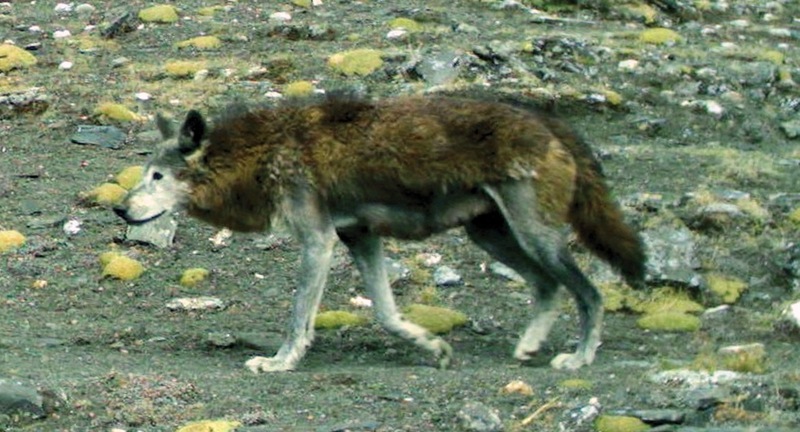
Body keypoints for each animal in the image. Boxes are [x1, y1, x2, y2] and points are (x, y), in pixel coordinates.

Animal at [115, 93, 648, 372]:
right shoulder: (360, 238)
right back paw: (528, 346)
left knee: (590, 292)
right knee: (548, 286)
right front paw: (432, 346)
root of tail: (548, 119)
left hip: (535, 236)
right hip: (493, 236)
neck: (262, 153)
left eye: (156, 177)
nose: (120, 209)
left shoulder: (319, 242)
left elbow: (298, 317)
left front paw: (281, 362)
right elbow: (388, 315)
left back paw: (579, 358)